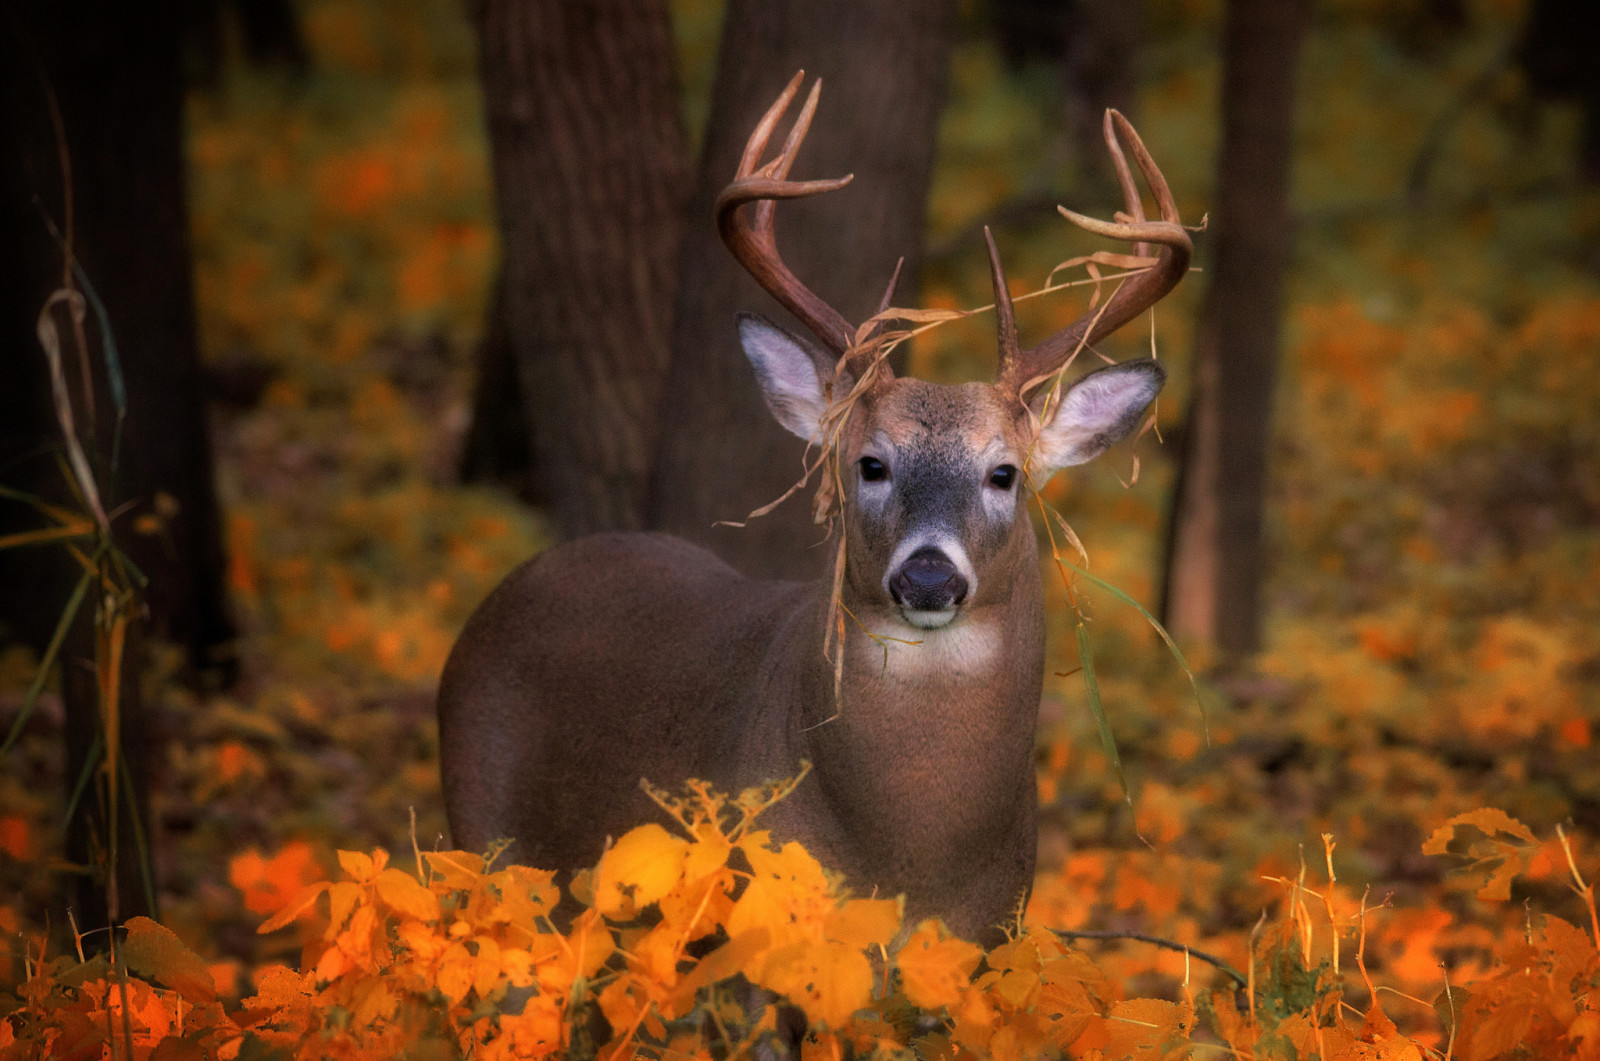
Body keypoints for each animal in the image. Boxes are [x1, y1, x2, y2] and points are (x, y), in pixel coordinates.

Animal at [438, 72, 1190, 947]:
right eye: (871, 463)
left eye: (1004, 472)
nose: (927, 577)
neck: (915, 856)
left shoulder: (988, 938)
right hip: (485, 839)